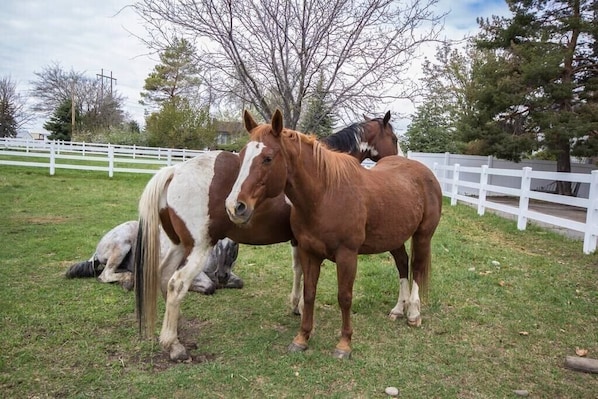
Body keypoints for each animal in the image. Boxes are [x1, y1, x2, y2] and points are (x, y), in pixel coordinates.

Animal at [65, 220, 244, 296]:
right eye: (218, 242)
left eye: (235, 243)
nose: (222, 275)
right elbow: (209, 286)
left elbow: (239, 282)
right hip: (122, 246)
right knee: (105, 275)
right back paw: (129, 281)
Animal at [136, 111, 404, 360]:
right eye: (394, 138)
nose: (397, 160)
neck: (323, 175)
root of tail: (174, 170)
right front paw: (299, 308)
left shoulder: (299, 241)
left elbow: (299, 270)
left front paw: (296, 306)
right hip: (199, 247)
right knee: (176, 284)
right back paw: (174, 345)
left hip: (179, 244)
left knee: (164, 277)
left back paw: (175, 328)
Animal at [227, 111, 442, 360]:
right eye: (242, 156)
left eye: (268, 158)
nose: (235, 206)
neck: (326, 194)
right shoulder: (308, 251)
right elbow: (309, 292)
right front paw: (302, 337)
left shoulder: (346, 255)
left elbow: (344, 297)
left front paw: (344, 344)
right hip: (394, 237)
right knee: (402, 264)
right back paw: (399, 309)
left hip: (422, 235)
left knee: (416, 267)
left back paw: (413, 313)